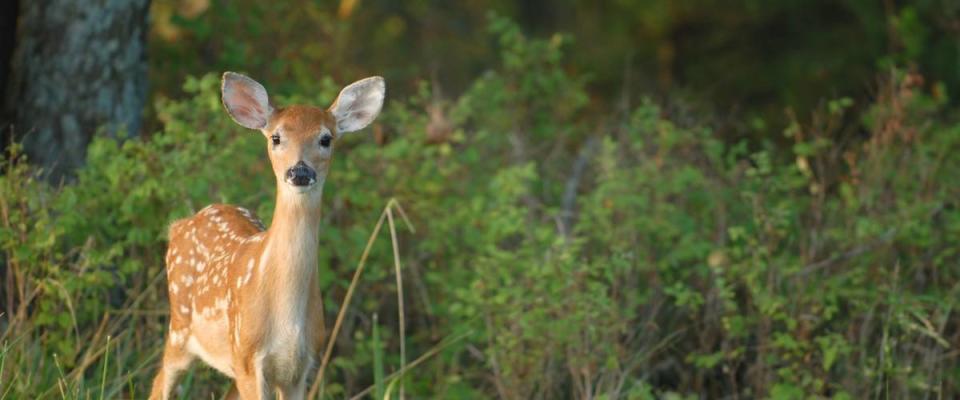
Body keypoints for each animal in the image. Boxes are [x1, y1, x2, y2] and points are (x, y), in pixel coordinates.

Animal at [152, 72, 384, 400]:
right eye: (276, 137)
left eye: (325, 139)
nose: (300, 172)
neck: (287, 317)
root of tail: (181, 224)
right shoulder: (249, 357)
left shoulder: (301, 366)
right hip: (181, 328)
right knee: (159, 381)